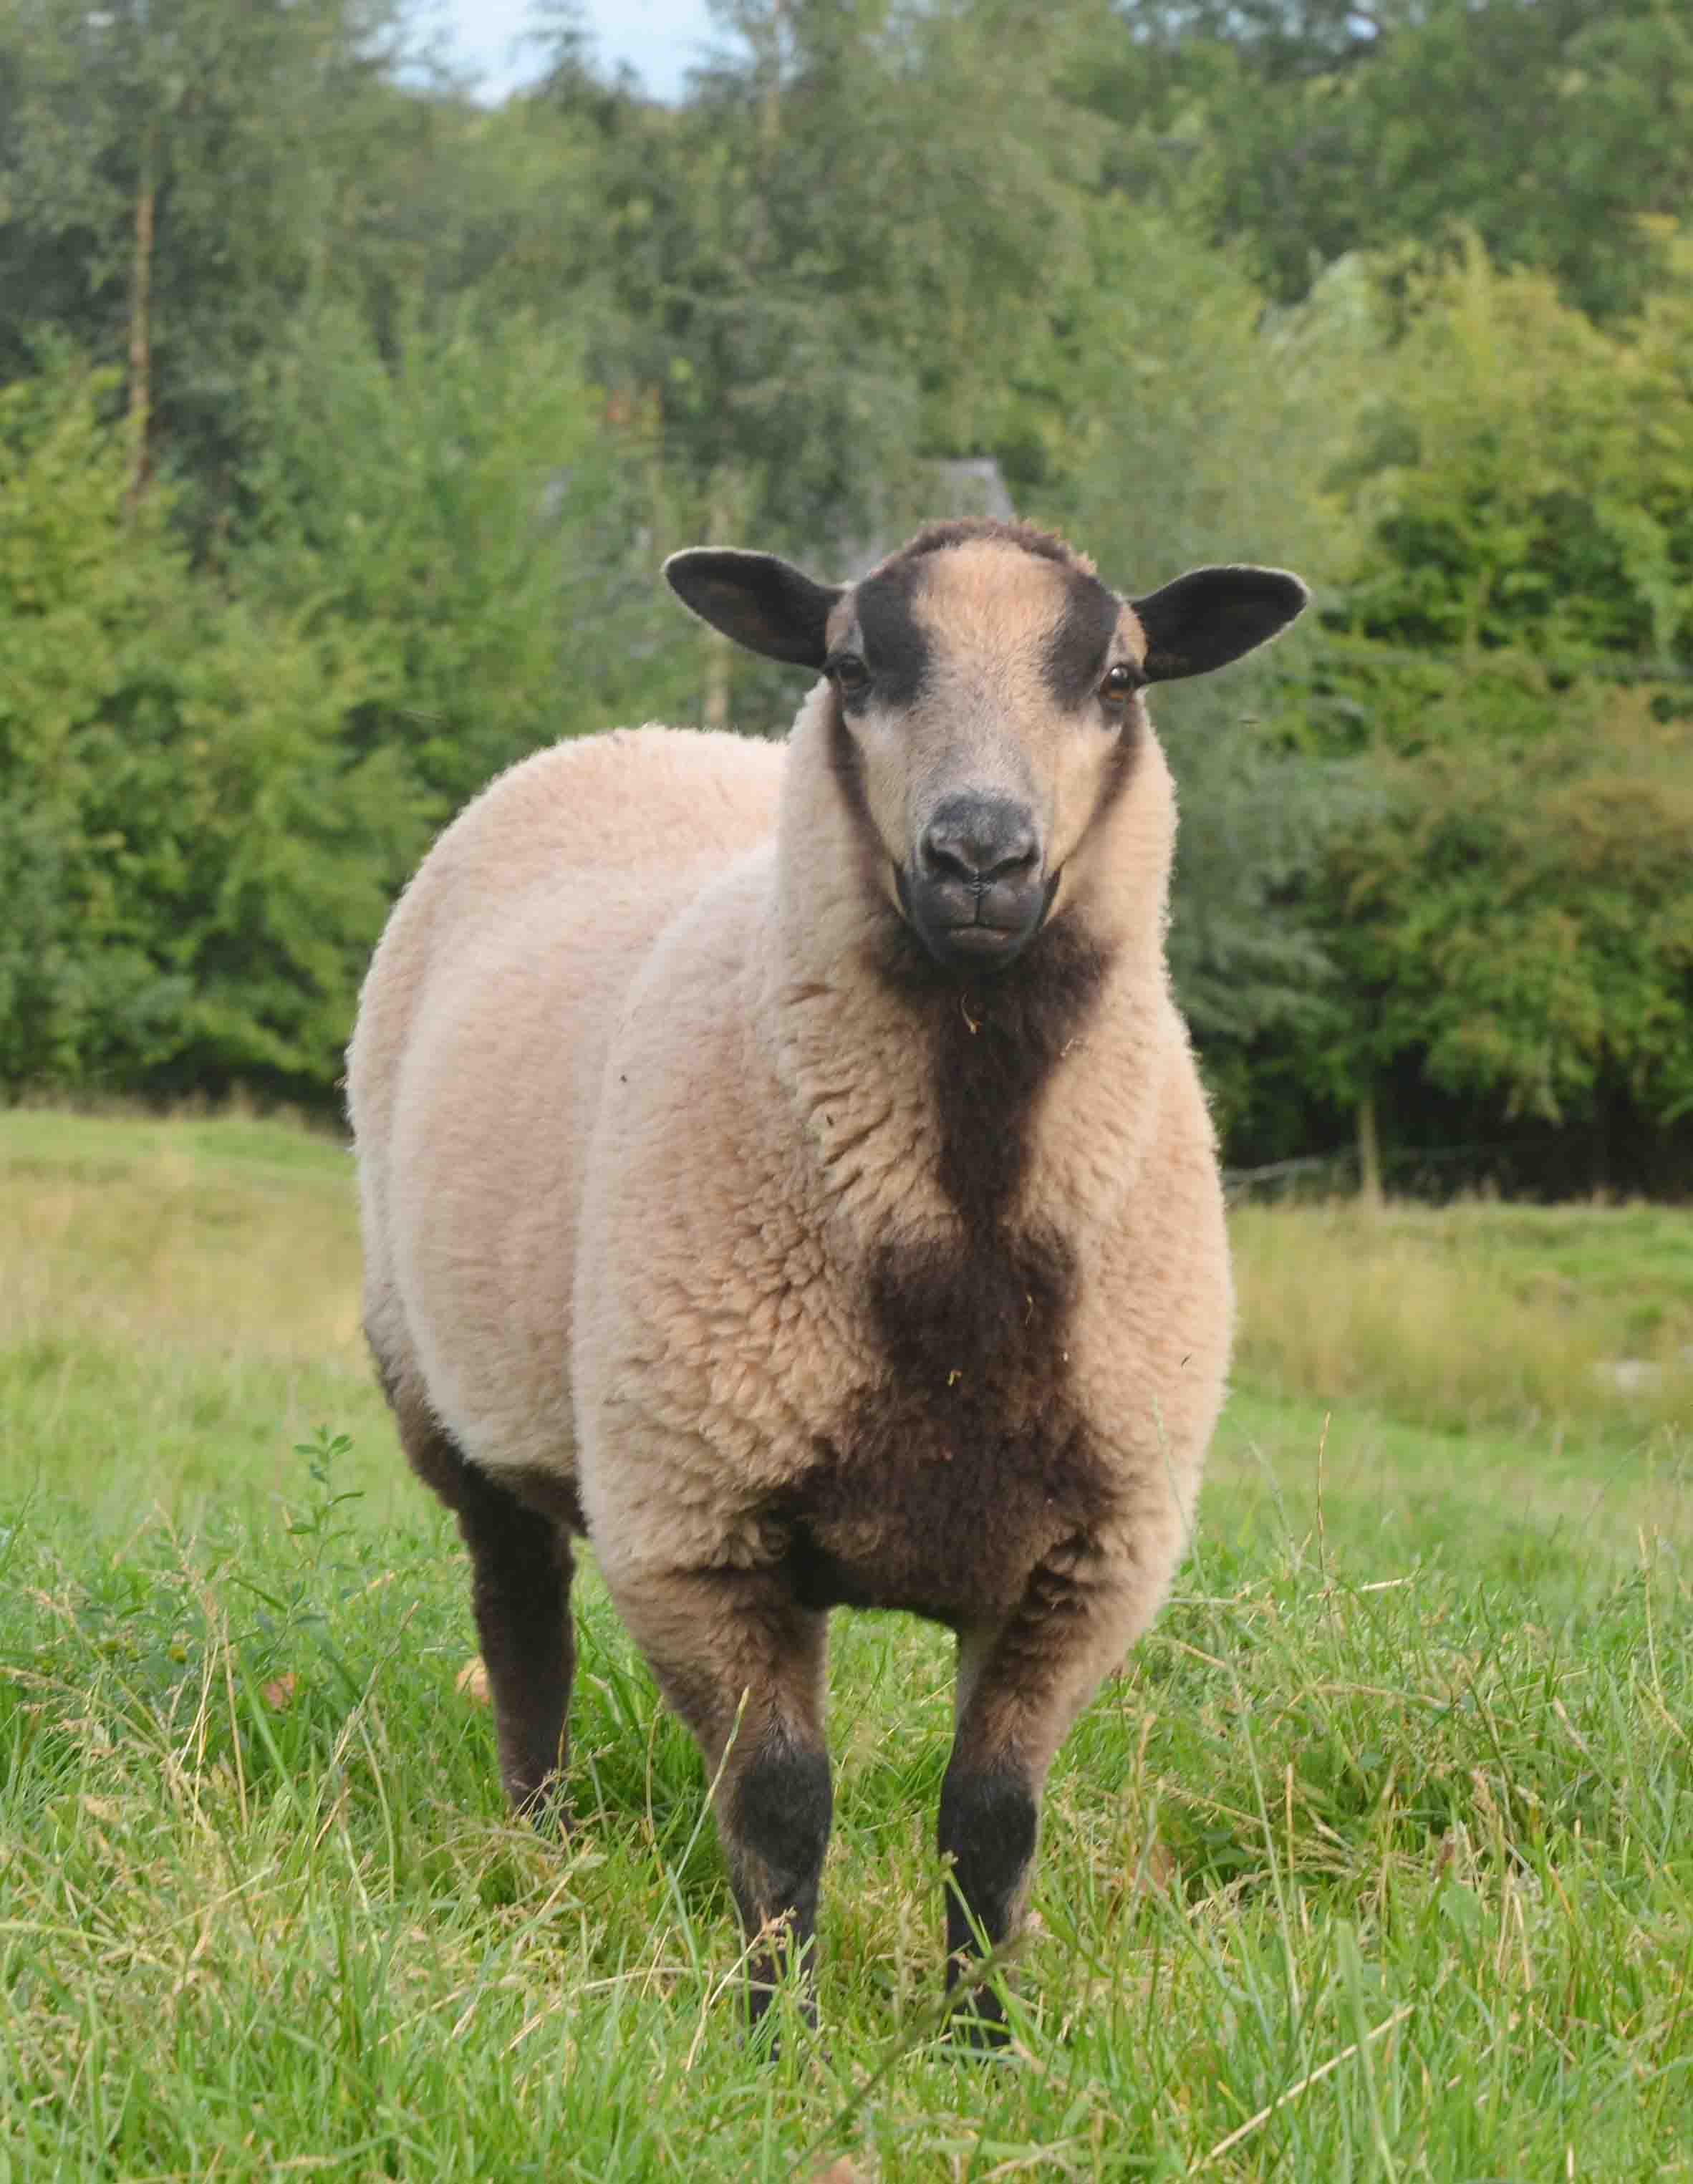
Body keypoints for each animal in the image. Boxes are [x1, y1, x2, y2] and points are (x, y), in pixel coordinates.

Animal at [347, 517, 1307, 2041]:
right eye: (852, 666)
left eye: (1117, 676)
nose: (978, 854)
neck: (961, 1256)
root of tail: (646, 732)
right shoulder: (696, 1527)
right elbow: (782, 1803)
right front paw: (778, 2034)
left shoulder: (1088, 1564)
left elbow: (991, 1821)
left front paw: (982, 2042)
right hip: (433, 1382)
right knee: (520, 1618)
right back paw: (535, 1838)